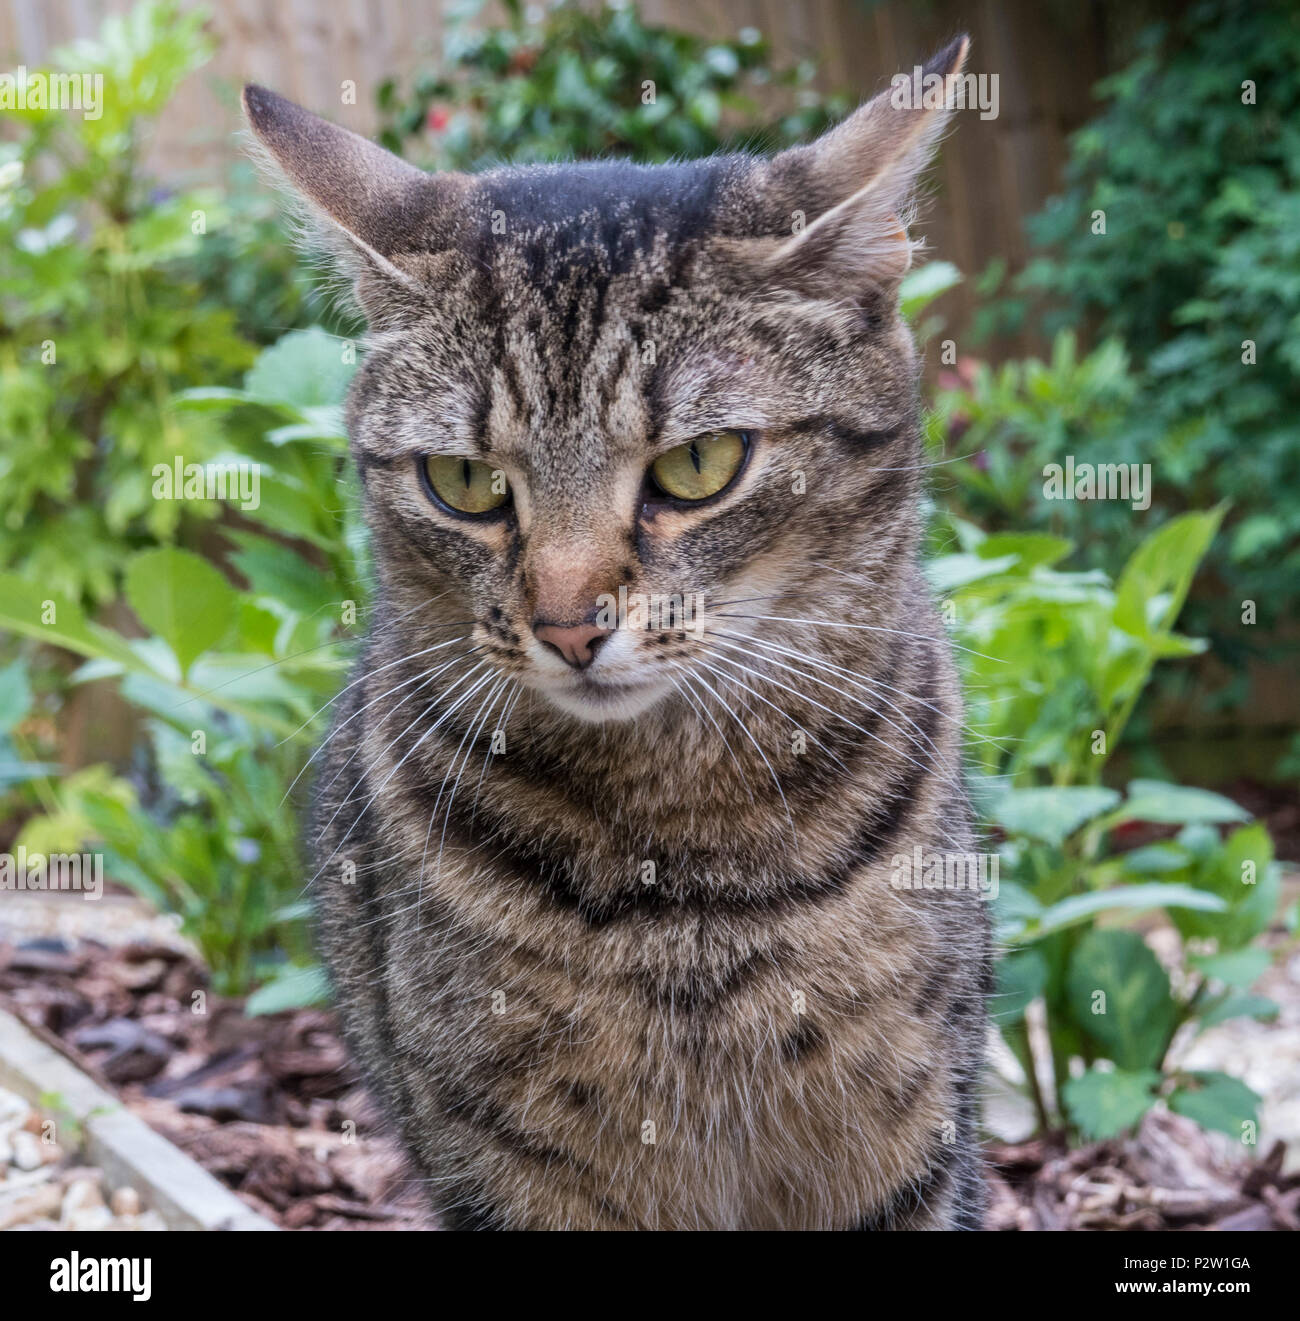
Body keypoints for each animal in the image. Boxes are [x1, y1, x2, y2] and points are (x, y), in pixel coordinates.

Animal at [243, 31, 988, 1225]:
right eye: (464, 482)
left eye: (699, 463)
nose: (565, 622)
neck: (686, 865)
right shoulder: (505, 1161)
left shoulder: (908, 1135)